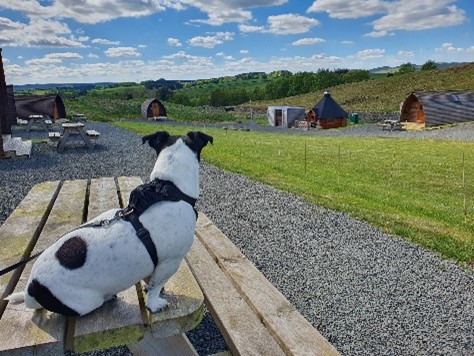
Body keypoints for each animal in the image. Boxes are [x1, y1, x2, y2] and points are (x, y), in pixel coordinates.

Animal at [5, 131, 212, 318]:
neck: (169, 187)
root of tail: (32, 287)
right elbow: (155, 286)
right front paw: (154, 303)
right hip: (85, 303)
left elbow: (150, 279)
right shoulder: (170, 262)